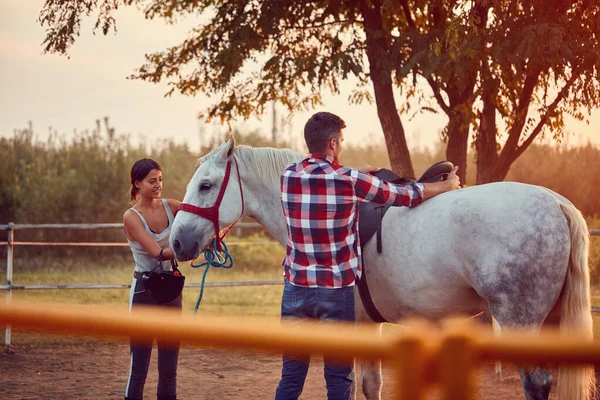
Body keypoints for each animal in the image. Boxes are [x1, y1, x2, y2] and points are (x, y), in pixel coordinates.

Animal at [170, 138, 596, 400]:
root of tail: (558, 203)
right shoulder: (367, 325)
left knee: (536, 384)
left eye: (206, 185)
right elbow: (371, 384)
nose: (176, 242)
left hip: (519, 320)